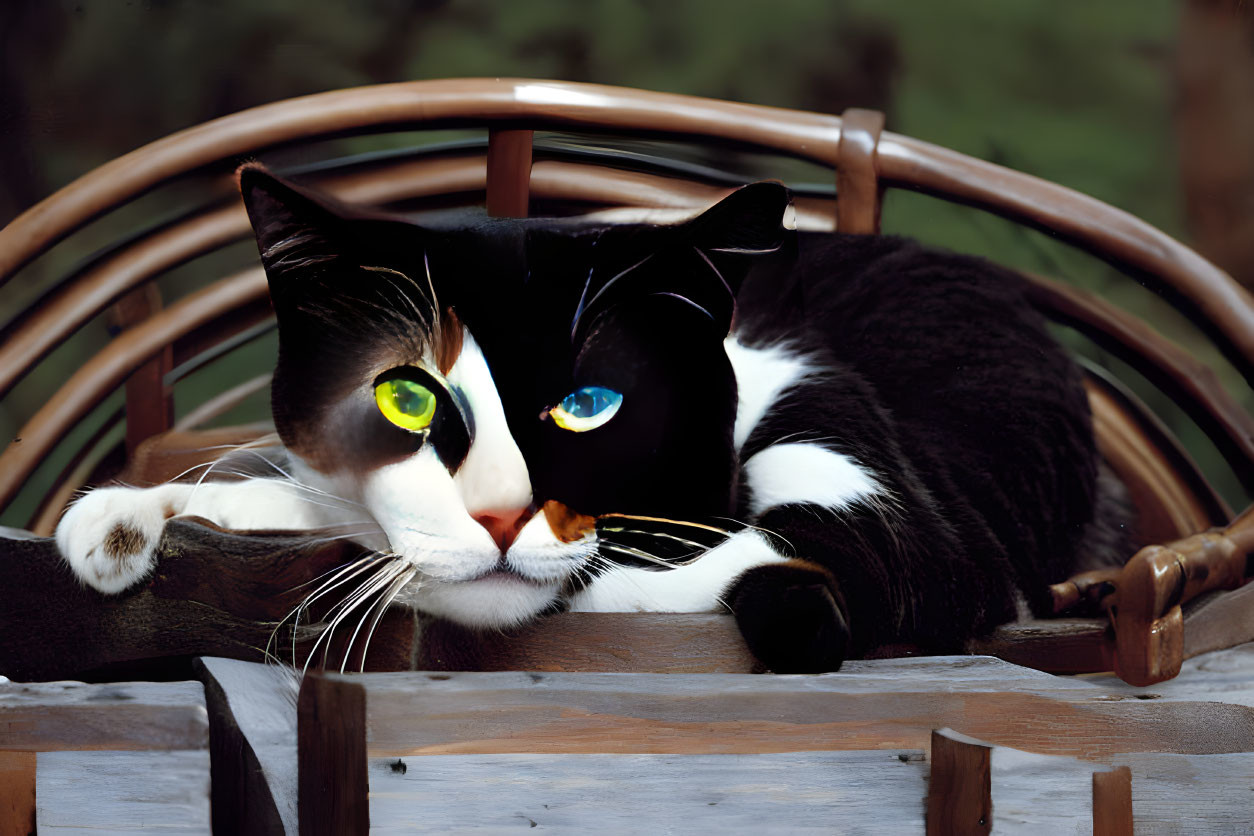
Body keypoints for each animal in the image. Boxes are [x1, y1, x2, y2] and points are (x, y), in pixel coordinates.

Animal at [53, 166, 1128, 676]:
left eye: (589, 405)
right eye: (408, 396)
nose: (496, 516)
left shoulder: (890, 488)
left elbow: (805, 563)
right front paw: (120, 519)